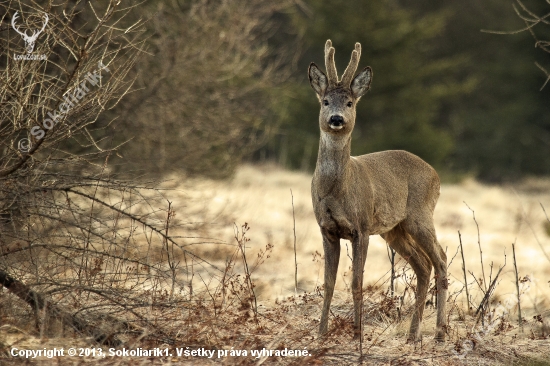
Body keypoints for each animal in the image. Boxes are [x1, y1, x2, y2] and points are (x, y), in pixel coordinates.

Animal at [310, 40, 448, 344]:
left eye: (349, 102)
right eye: (325, 101)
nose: (336, 119)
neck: (335, 190)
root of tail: (435, 174)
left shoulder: (360, 227)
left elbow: (356, 282)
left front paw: (357, 334)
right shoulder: (326, 229)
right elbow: (328, 283)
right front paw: (321, 333)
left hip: (420, 215)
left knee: (441, 259)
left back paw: (440, 333)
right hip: (393, 229)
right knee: (423, 265)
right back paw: (413, 334)